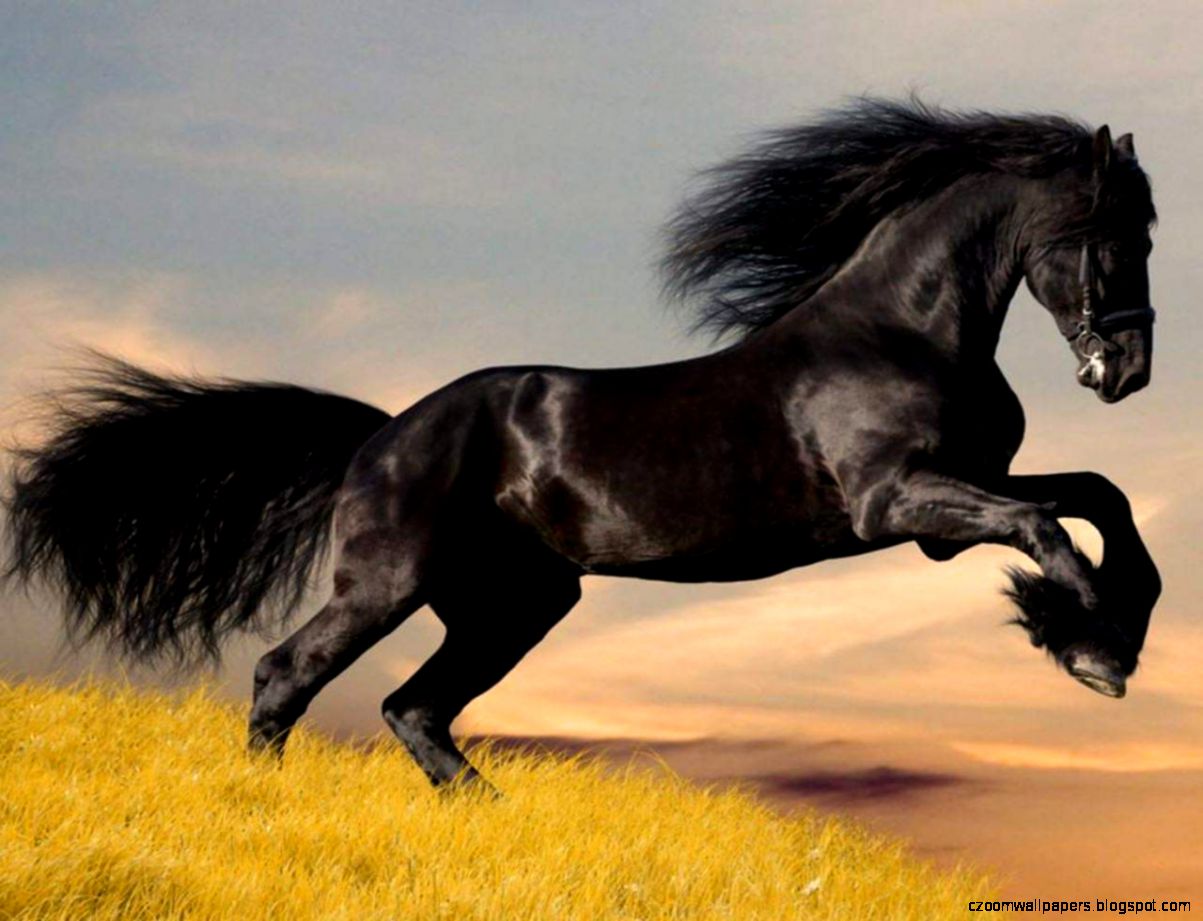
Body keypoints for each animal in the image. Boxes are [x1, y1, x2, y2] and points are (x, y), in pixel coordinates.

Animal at [3, 98, 1161, 791]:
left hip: (515, 603)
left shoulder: (953, 500)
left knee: (413, 707)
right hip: (390, 582)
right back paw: (263, 803)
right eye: (1112, 236)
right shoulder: (900, 504)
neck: (899, 330)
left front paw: (1107, 630)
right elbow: (1046, 524)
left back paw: (491, 816)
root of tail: (383, 435)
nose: (1128, 371)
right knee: (289, 674)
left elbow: (1098, 496)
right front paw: (1091, 649)